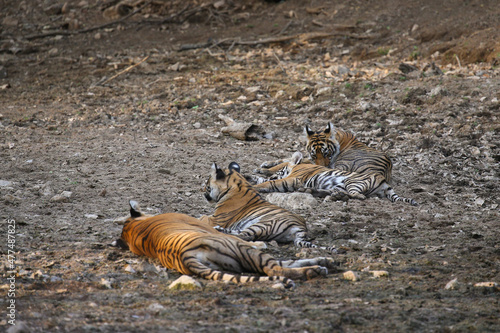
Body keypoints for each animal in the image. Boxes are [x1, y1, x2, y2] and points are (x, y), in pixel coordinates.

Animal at [112, 200, 336, 288]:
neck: (133, 229)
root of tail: (184, 255)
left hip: (237, 260)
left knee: (281, 265)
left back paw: (325, 263)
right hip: (241, 249)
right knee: (274, 267)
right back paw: (315, 270)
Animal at [199, 161, 336, 252]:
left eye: (207, 182)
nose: (202, 190)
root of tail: (302, 228)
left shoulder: (215, 219)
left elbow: (202, 217)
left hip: (264, 223)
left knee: (246, 235)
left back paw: (220, 230)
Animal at [254, 150, 418, 205]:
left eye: (277, 168)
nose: (267, 171)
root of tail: (384, 182)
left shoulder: (292, 178)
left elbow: (271, 183)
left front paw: (256, 185)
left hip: (353, 181)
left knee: (357, 195)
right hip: (339, 184)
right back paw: (315, 192)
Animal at [260, 122, 392, 183]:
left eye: (326, 154)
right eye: (314, 154)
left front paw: (265, 169)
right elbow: (287, 159)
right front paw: (266, 164)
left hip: (343, 164)